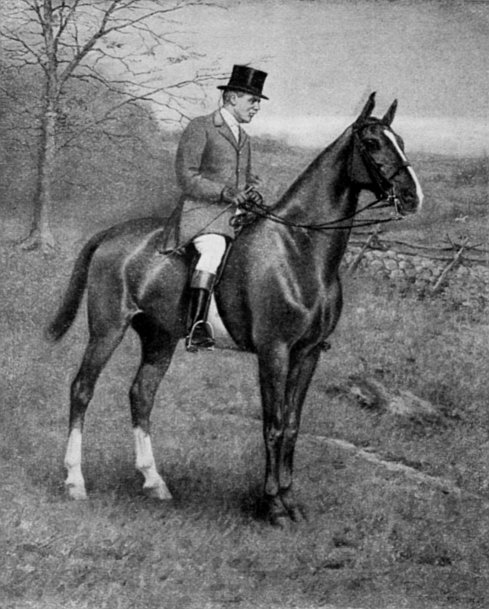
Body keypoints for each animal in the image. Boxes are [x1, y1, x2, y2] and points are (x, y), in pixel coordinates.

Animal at [47, 93, 423, 526]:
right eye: (373, 144)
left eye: (401, 140)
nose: (413, 198)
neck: (301, 249)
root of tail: (112, 233)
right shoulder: (274, 352)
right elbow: (273, 425)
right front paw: (273, 506)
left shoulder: (308, 354)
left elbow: (292, 425)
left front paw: (291, 501)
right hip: (108, 329)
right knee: (82, 389)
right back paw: (75, 481)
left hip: (159, 336)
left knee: (141, 394)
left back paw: (154, 482)